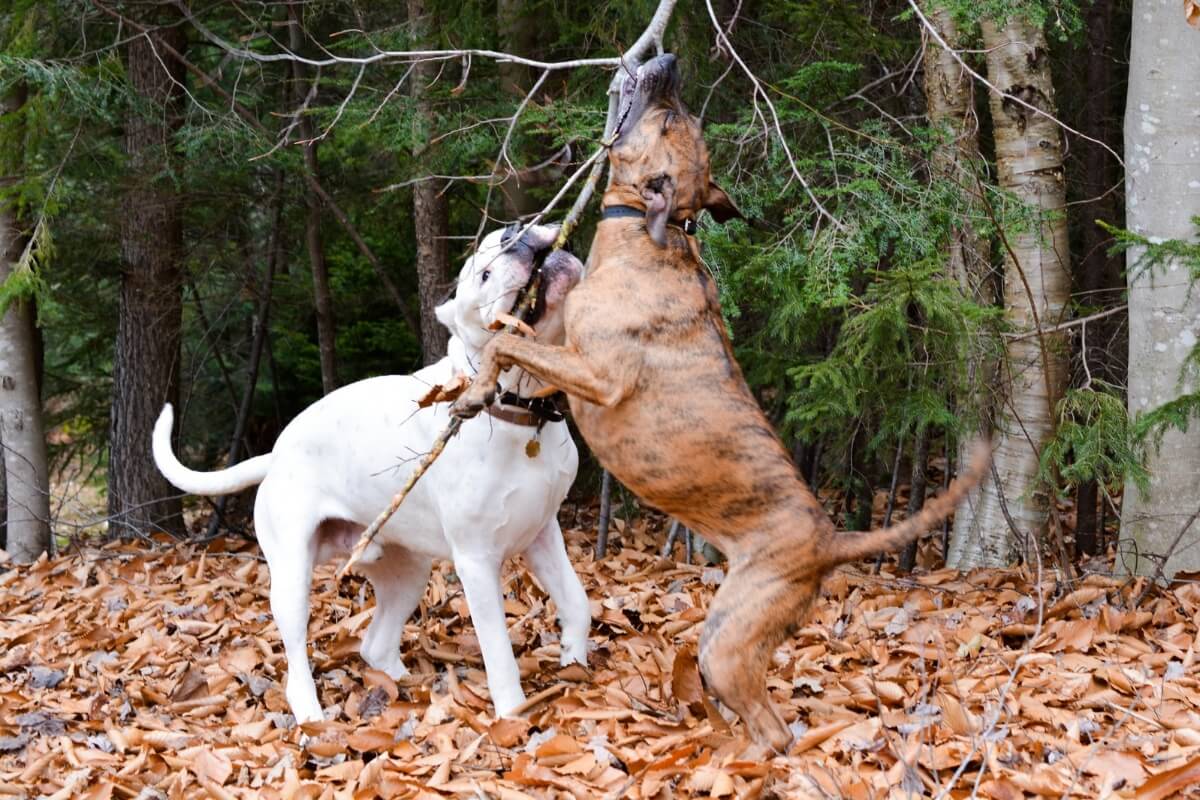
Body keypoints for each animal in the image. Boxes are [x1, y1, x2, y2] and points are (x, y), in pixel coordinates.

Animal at [157, 225, 588, 724]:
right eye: (484, 274)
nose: (516, 233)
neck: (517, 407)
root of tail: (276, 453)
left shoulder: (543, 533)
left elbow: (578, 602)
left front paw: (575, 662)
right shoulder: (477, 561)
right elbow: (499, 652)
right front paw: (514, 717)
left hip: (408, 571)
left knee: (374, 644)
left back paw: (410, 688)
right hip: (293, 577)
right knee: (296, 662)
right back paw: (313, 716)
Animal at [453, 54, 988, 753]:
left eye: (669, 120)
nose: (667, 60)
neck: (648, 236)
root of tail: (830, 540)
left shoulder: (594, 374)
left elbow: (506, 344)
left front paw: (471, 390)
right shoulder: (557, 351)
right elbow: (510, 343)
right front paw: (477, 387)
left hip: (729, 639)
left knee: (774, 728)